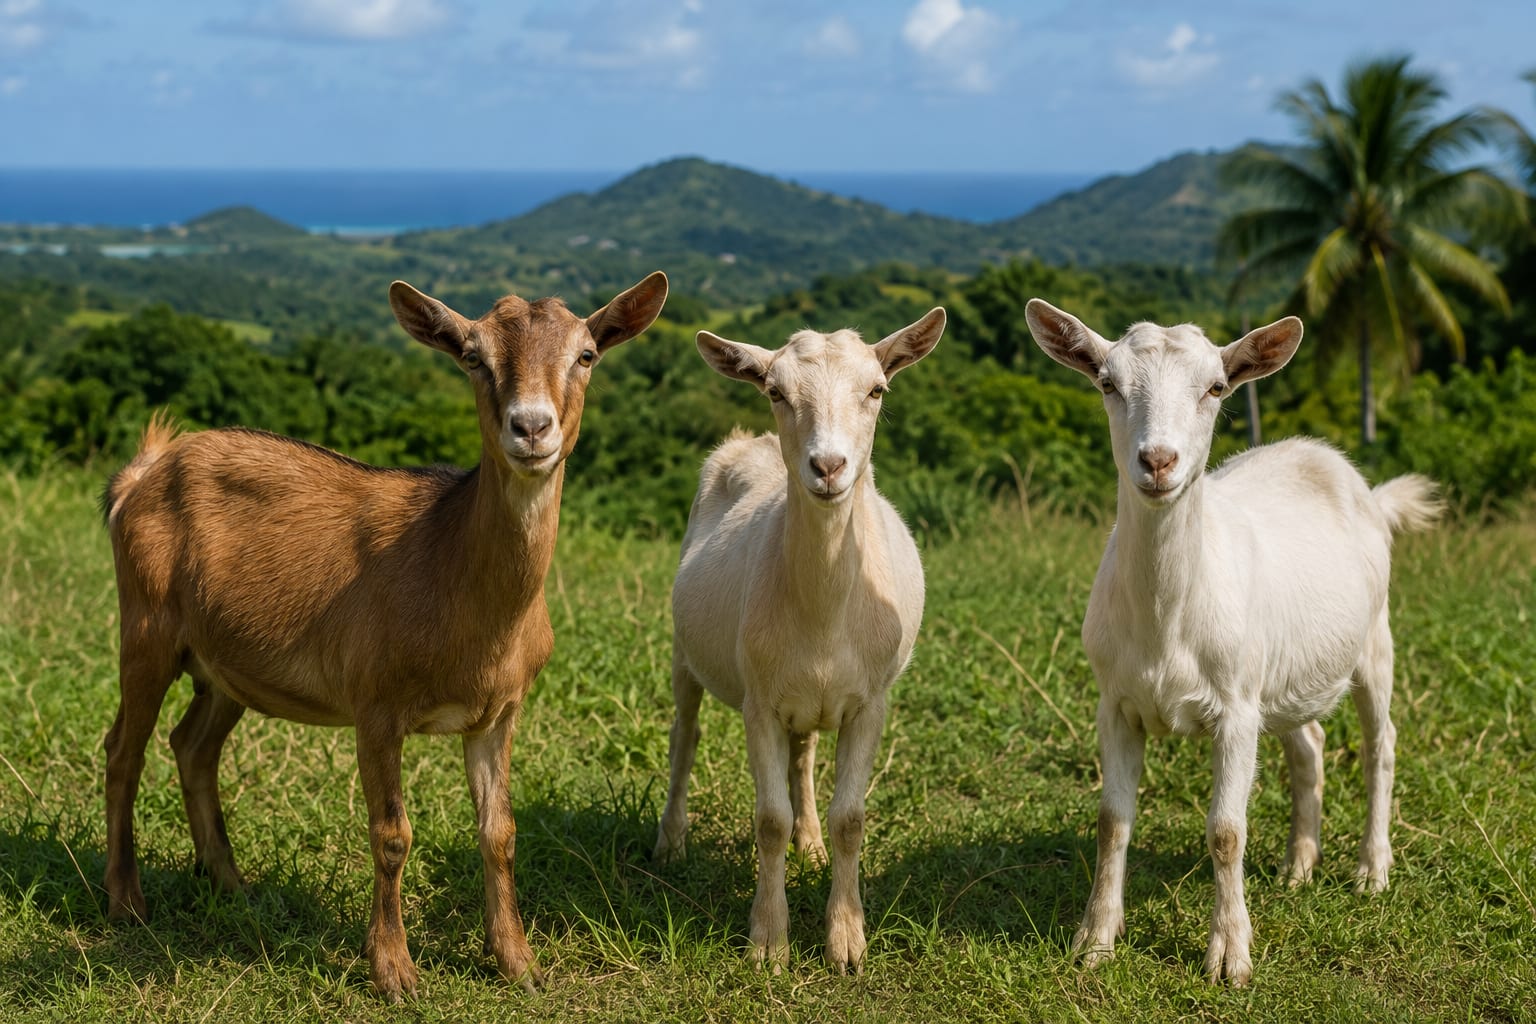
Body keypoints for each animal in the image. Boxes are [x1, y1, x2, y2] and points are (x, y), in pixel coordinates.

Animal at [101, 271, 669, 999]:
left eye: (587, 354)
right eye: (474, 356)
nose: (531, 427)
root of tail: (139, 475)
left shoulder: (500, 711)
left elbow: (501, 831)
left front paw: (519, 964)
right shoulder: (374, 702)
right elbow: (392, 833)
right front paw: (394, 970)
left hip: (225, 667)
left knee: (193, 745)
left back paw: (233, 885)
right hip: (145, 628)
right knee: (124, 749)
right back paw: (127, 901)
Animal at [655, 309, 946, 972]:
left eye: (876, 390)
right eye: (775, 391)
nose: (829, 467)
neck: (822, 615)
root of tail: (747, 442)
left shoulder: (870, 702)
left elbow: (850, 819)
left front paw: (846, 942)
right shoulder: (759, 701)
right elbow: (768, 820)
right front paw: (768, 943)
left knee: (804, 755)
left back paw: (809, 844)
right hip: (687, 652)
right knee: (686, 735)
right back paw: (670, 841)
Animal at [1025, 299, 1441, 986]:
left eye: (1216, 388)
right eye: (1107, 383)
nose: (1158, 461)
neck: (1167, 622)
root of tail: (1356, 482)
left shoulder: (1236, 709)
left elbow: (1226, 830)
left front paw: (1229, 956)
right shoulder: (1115, 703)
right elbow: (1112, 822)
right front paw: (1095, 941)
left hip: (1373, 641)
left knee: (1381, 744)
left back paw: (1370, 870)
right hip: (1282, 671)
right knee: (1310, 743)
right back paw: (1300, 865)